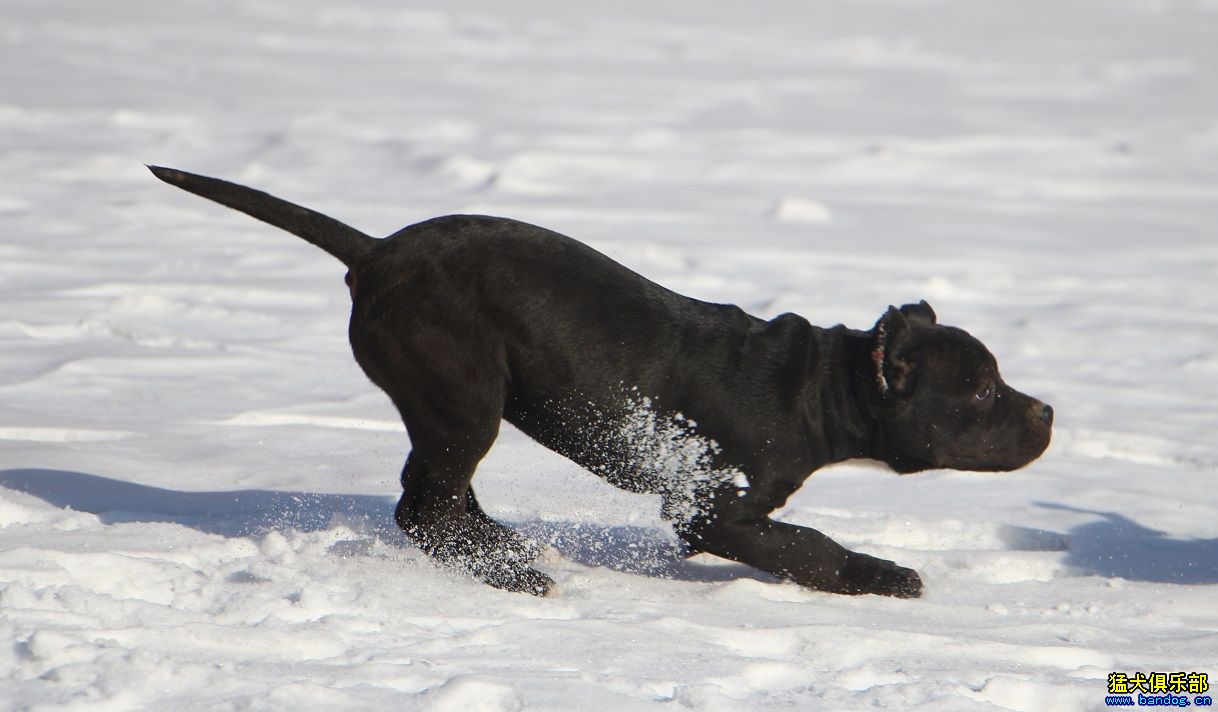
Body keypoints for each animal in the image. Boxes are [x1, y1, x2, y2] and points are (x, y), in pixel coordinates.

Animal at [149, 167, 1047, 598]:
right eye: (979, 390)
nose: (1046, 412)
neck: (823, 390)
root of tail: (373, 253)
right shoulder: (714, 511)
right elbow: (810, 549)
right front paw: (884, 577)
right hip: (461, 397)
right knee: (424, 506)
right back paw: (512, 575)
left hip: (457, 406)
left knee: (436, 498)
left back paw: (508, 550)